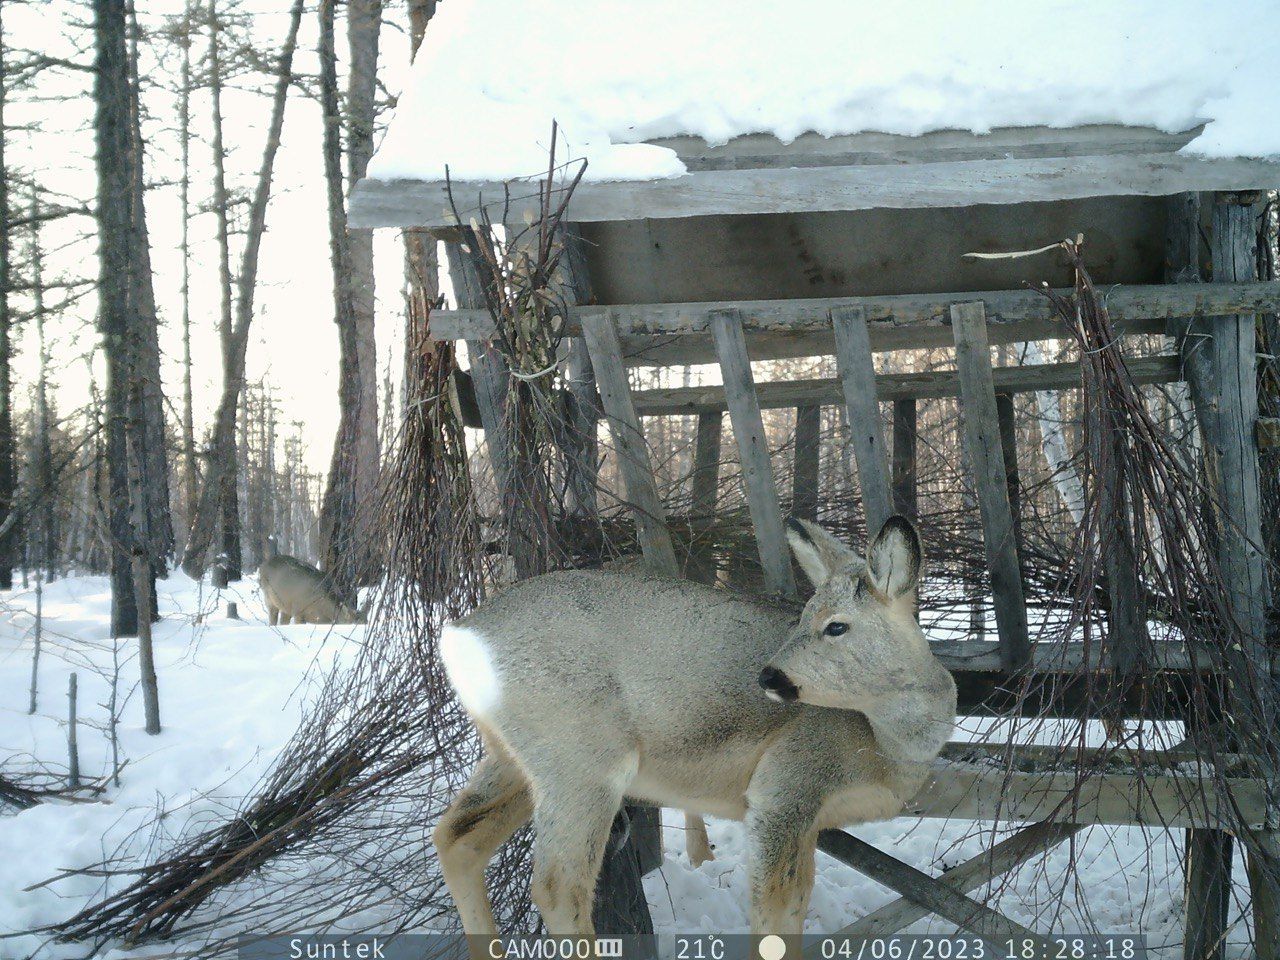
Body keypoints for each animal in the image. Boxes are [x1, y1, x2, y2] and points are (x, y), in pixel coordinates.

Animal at [435, 519, 957, 942]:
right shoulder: (785, 787)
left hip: (514, 759)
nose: (769, 676)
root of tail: (458, 638)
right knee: (557, 887)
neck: (887, 748)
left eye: (836, 626)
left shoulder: (810, 820)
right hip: (583, 761)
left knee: (456, 839)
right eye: (804, 615)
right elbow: (773, 915)